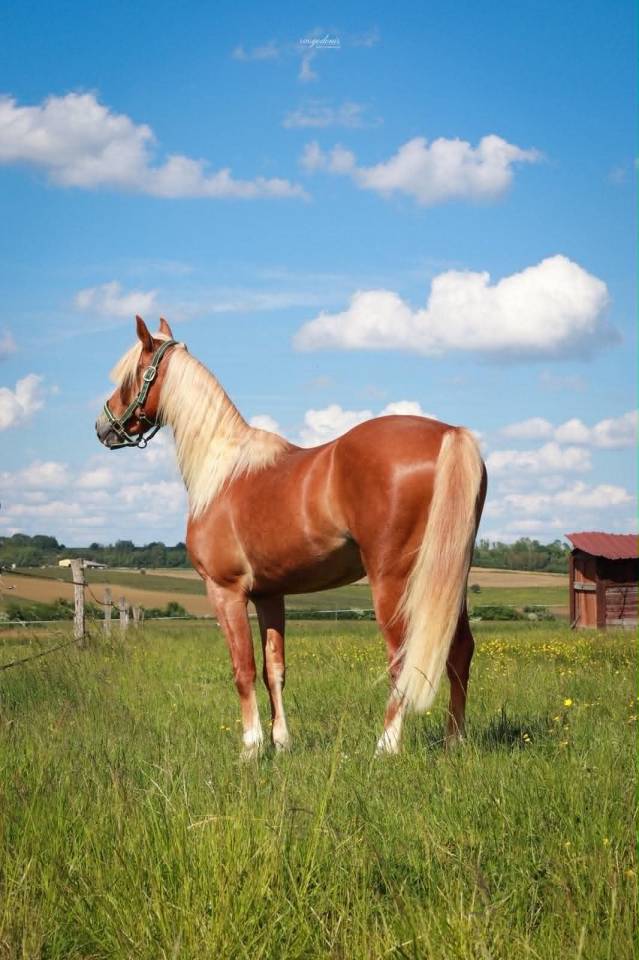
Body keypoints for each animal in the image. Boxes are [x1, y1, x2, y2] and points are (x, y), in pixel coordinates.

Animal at [96, 316, 487, 758]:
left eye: (130, 376)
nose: (102, 427)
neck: (223, 472)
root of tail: (449, 434)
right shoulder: (270, 594)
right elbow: (274, 669)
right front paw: (281, 742)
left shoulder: (225, 591)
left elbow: (243, 669)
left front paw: (251, 748)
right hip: (449, 578)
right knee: (459, 652)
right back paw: (454, 741)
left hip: (395, 582)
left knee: (402, 658)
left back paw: (386, 745)